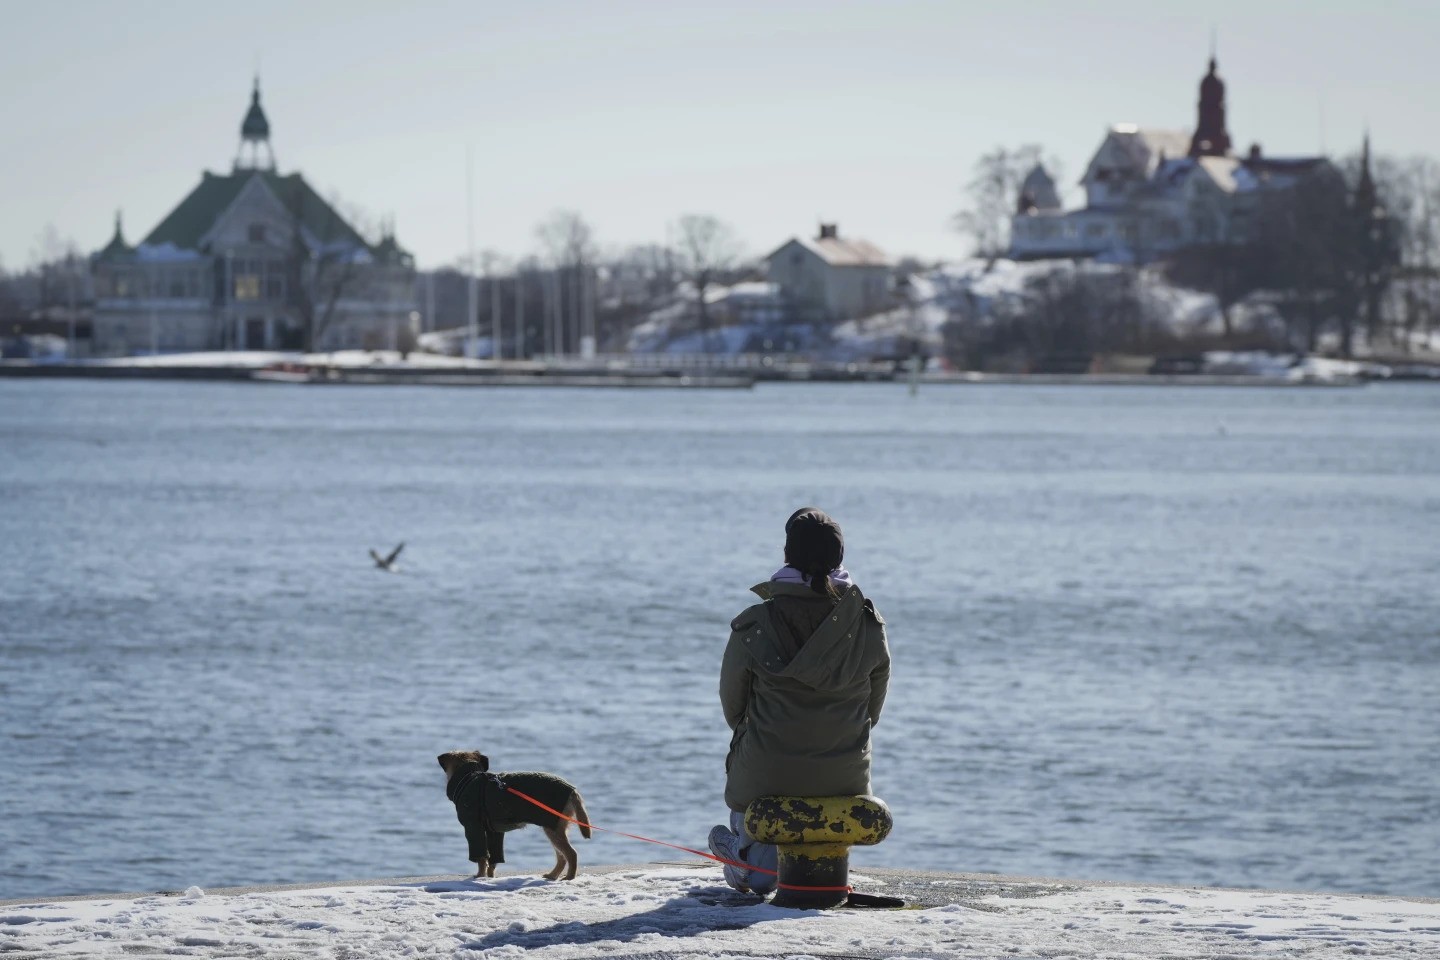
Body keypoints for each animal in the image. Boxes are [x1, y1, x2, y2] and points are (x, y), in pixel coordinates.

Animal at [440, 754, 593, 880]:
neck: (470, 777)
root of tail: (572, 791)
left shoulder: (474, 828)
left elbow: (482, 858)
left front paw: (479, 877)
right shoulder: (494, 832)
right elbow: (493, 859)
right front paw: (489, 878)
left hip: (553, 829)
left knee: (571, 854)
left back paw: (569, 877)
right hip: (553, 828)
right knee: (562, 857)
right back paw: (552, 875)